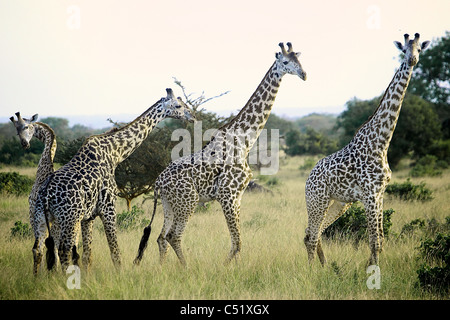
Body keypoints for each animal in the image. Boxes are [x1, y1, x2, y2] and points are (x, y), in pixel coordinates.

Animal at [31, 89, 193, 274]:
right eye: (178, 105)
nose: (192, 115)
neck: (114, 153)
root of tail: (45, 194)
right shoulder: (108, 207)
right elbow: (115, 250)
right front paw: (120, 275)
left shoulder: (88, 216)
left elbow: (88, 255)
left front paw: (88, 277)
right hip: (68, 219)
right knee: (64, 249)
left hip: (40, 217)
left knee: (38, 249)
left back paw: (37, 279)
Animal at [134, 43, 308, 268]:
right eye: (286, 62)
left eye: (299, 60)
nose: (304, 74)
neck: (244, 141)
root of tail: (158, 183)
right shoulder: (228, 195)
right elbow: (237, 242)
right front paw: (227, 267)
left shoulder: (238, 196)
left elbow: (237, 242)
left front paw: (237, 268)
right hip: (188, 201)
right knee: (173, 236)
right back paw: (186, 268)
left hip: (169, 203)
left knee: (161, 237)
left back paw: (162, 269)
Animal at [304, 33, 430, 266]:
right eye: (404, 50)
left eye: (419, 49)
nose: (412, 60)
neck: (381, 143)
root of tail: (308, 179)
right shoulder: (370, 194)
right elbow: (373, 241)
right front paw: (374, 271)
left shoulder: (380, 194)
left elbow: (380, 239)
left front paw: (372, 267)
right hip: (317, 200)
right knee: (311, 236)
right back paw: (310, 270)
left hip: (338, 203)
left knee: (314, 233)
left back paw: (324, 267)